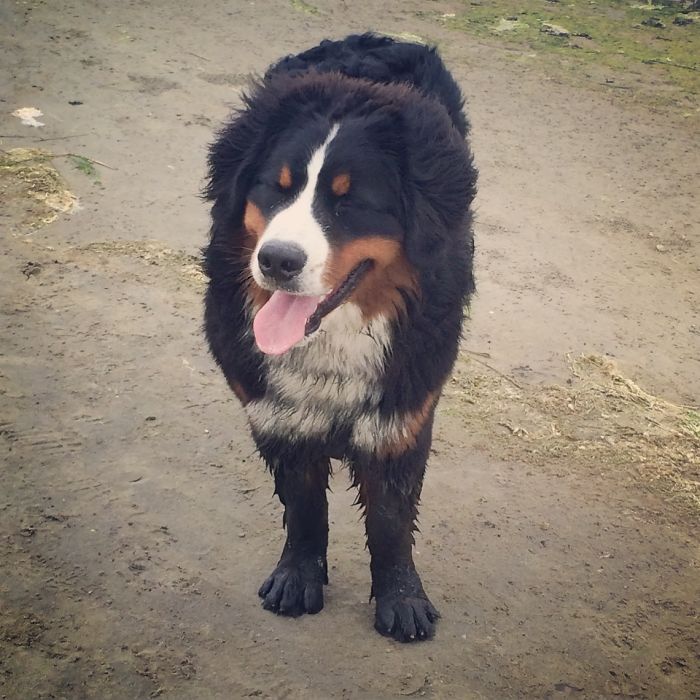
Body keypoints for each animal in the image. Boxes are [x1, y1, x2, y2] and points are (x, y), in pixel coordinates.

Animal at [202, 35, 476, 644]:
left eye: (348, 202)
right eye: (275, 189)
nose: (277, 261)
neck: (334, 339)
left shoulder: (400, 417)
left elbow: (391, 521)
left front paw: (402, 599)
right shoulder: (277, 412)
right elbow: (304, 507)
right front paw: (298, 577)